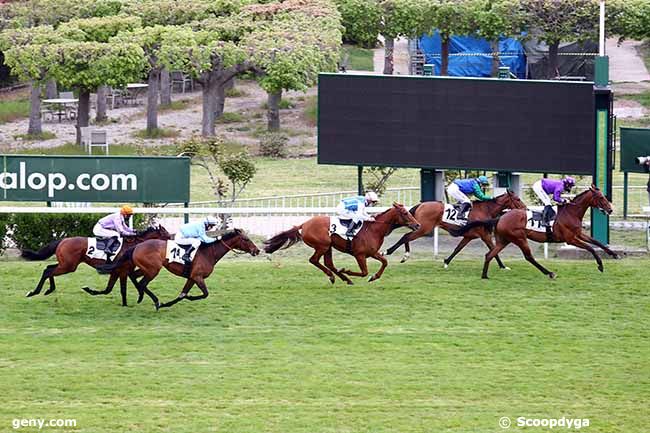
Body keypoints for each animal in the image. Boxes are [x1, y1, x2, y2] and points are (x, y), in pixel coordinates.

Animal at [20, 226, 170, 304]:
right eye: (167, 235)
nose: (172, 243)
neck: (132, 246)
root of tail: (63, 240)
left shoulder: (117, 271)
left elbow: (111, 289)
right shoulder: (123, 270)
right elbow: (122, 289)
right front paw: (127, 304)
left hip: (65, 264)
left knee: (48, 268)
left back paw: (48, 289)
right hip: (68, 266)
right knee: (48, 272)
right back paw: (34, 292)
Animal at [96, 228, 258, 308]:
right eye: (246, 239)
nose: (256, 250)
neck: (209, 253)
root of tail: (137, 246)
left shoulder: (192, 277)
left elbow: (182, 294)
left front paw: (168, 304)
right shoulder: (198, 276)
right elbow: (204, 294)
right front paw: (190, 298)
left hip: (146, 268)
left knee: (134, 277)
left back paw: (142, 297)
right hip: (153, 269)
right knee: (142, 283)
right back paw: (155, 301)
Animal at [264, 202, 420, 284]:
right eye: (405, 213)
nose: (418, 225)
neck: (373, 229)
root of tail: (304, 224)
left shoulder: (372, 253)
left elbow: (385, 262)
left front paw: (374, 277)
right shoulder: (359, 254)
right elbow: (364, 272)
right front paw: (347, 270)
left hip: (328, 247)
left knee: (328, 263)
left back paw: (343, 278)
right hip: (322, 245)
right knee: (314, 260)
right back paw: (335, 276)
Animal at [382, 190, 524, 266]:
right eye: (517, 199)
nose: (525, 208)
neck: (485, 210)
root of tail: (421, 205)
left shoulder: (469, 236)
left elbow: (458, 249)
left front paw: (446, 261)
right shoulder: (485, 235)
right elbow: (494, 250)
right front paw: (503, 266)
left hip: (418, 225)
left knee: (407, 237)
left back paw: (405, 255)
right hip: (424, 228)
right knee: (406, 237)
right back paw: (389, 251)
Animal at [456, 184, 612, 278]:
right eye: (600, 197)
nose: (610, 209)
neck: (571, 212)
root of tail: (500, 218)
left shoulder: (578, 234)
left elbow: (596, 242)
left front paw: (612, 254)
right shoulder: (570, 239)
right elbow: (589, 248)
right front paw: (600, 265)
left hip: (504, 240)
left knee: (489, 254)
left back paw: (484, 275)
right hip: (519, 238)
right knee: (528, 257)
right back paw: (549, 273)